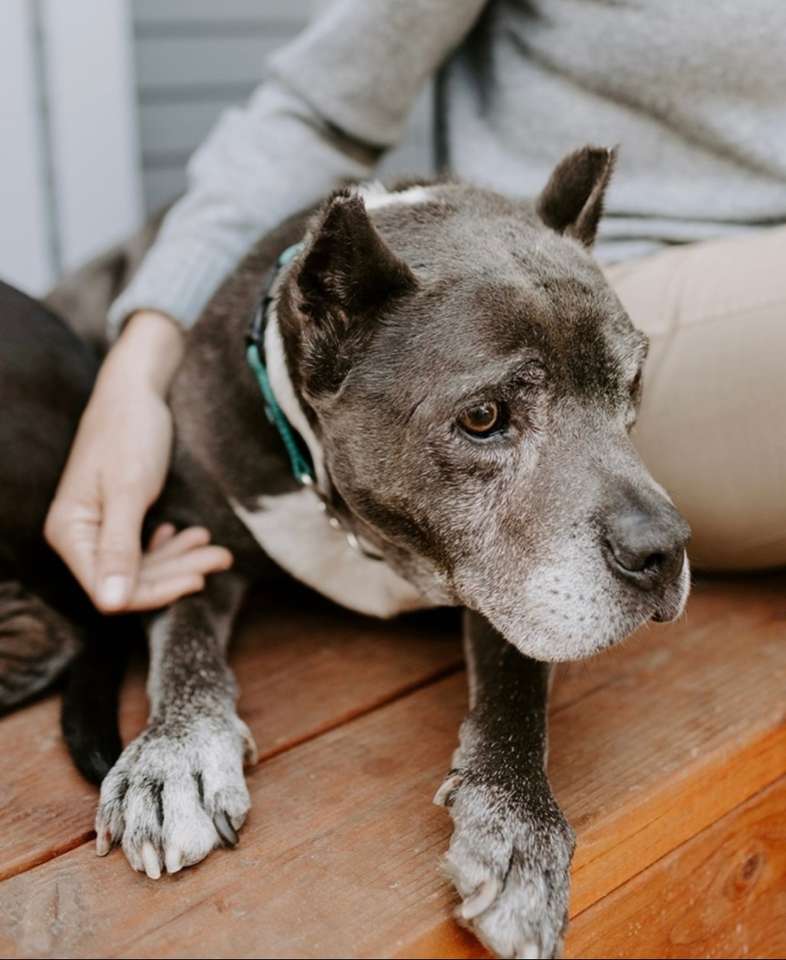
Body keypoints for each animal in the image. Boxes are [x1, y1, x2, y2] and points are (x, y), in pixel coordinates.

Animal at [0, 144, 688, 960]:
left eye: (633, 382)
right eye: (484, 417)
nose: (665, 551)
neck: (367, 535)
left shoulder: (509, 593)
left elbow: (518, 691)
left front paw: (519, 824)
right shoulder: (185, 532)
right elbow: (183, 640)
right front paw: (177, 753)